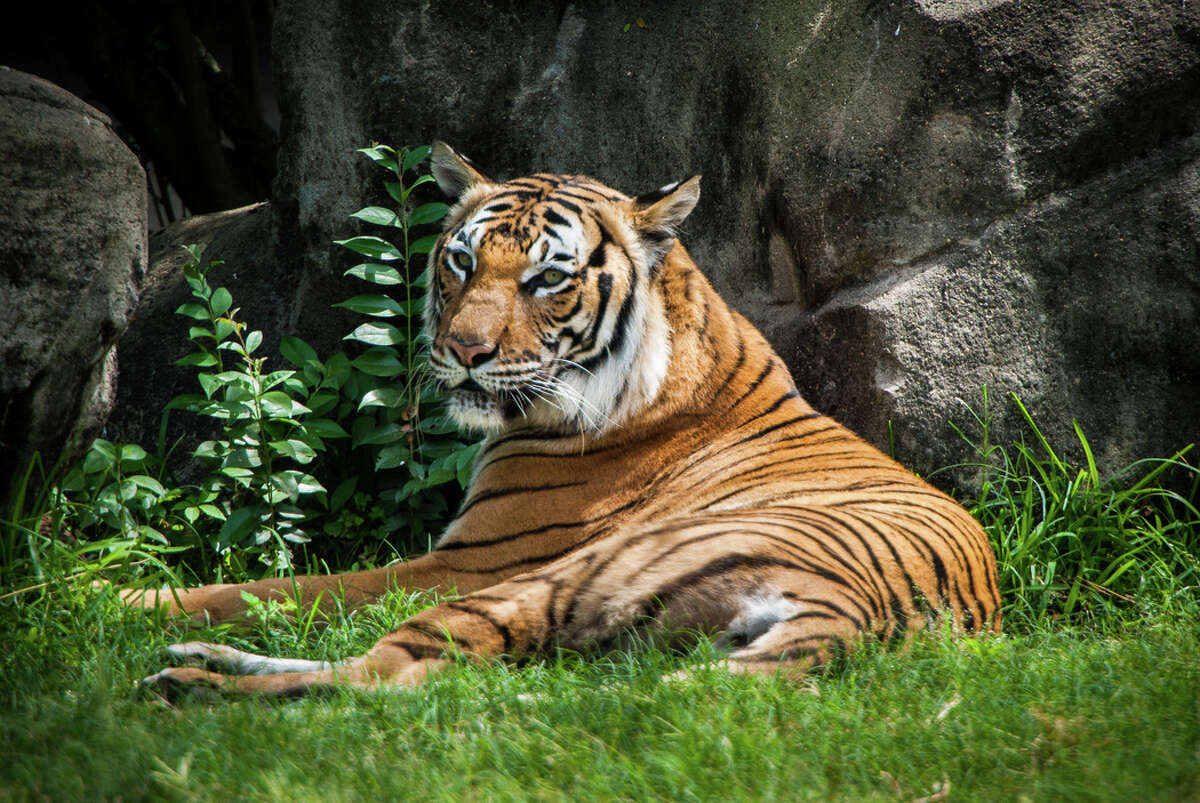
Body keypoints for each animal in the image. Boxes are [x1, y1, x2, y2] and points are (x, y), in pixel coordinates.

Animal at [133, 144, 1003, 696]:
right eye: (461, 260)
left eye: (547, 278)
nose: (463, 350)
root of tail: (854, 617)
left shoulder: (466, 562)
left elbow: (274, 586)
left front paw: (124, 599)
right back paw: (197, 661)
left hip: (557, 577)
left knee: (393, 680)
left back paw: (187, 680)